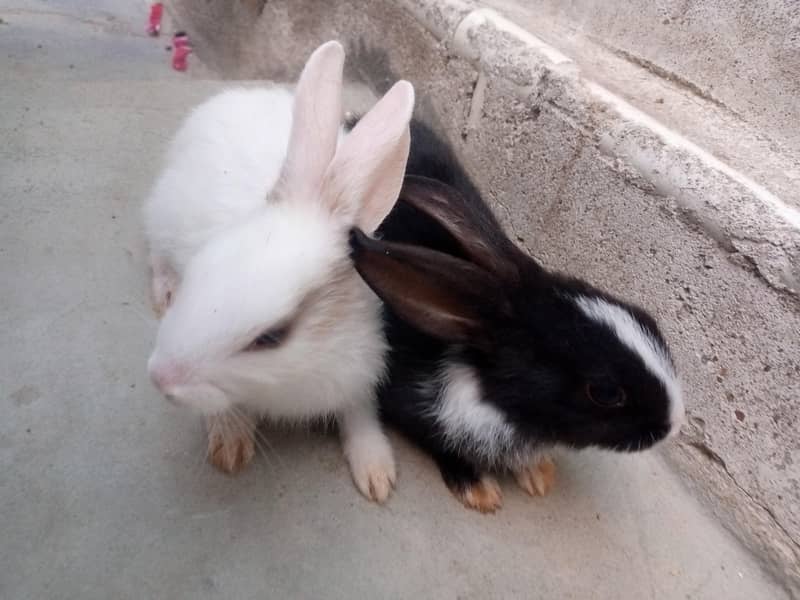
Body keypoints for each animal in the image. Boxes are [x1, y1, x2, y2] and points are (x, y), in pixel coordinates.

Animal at [142, 40, 415, 503]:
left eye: (271, 338)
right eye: (201, 268)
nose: (160, 379)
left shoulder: (358, 372)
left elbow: (360, 416)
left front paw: (377, 475)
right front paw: (231, 444)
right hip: (162, 214)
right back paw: (163, 291)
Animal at [348, 119, 685, 512]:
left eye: (647, 319)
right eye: (604, 392)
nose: (674, 423)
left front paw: (538, 476)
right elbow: (438, 442)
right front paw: (480, 491)